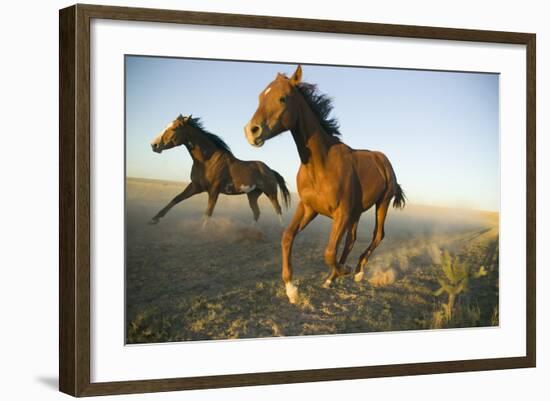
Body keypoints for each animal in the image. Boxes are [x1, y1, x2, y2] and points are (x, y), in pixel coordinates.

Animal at [149, 114, 292, 227]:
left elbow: (208, 213)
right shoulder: (195, 186)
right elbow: (176, 199)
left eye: (174, 128)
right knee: (257, 213)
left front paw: (202, 232)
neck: (207, 161)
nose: (153, 145)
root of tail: (270, 170)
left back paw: (281, 229)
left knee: (278, 209)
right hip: (252, 195)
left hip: (270, 192)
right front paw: (154, 219)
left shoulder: (214, 190)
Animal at [245, 66, 406, 304]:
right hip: (357, 212)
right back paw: (332, 278)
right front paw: (291, 289)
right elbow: (288, 237)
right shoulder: (309, 208)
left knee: (377, 235)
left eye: (283, 98)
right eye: (259, 97)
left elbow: (330, 251)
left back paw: (357, 271)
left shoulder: (341, 214)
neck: (322, 166)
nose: (251, 131)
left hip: (382, 204)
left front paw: (344, 270)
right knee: (351, 240)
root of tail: (383, 160)